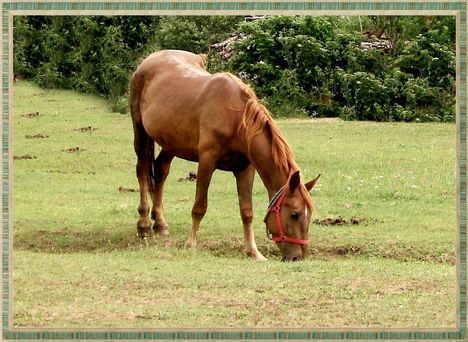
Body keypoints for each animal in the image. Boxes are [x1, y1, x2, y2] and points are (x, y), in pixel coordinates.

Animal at [129, 49, 318, 260]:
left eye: (309, 215)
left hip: (170, 143)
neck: (237, 121)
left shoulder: (245, 169)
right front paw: (191, 243)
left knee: (161, 170)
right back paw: (144, 225)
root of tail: (149, 60)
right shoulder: (207, 161)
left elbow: (247, 212)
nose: (297, 257)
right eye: (295, 214)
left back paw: (160, 223)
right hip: (140, 131)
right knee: (143, 172)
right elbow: (199, 207)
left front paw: (253, 251)